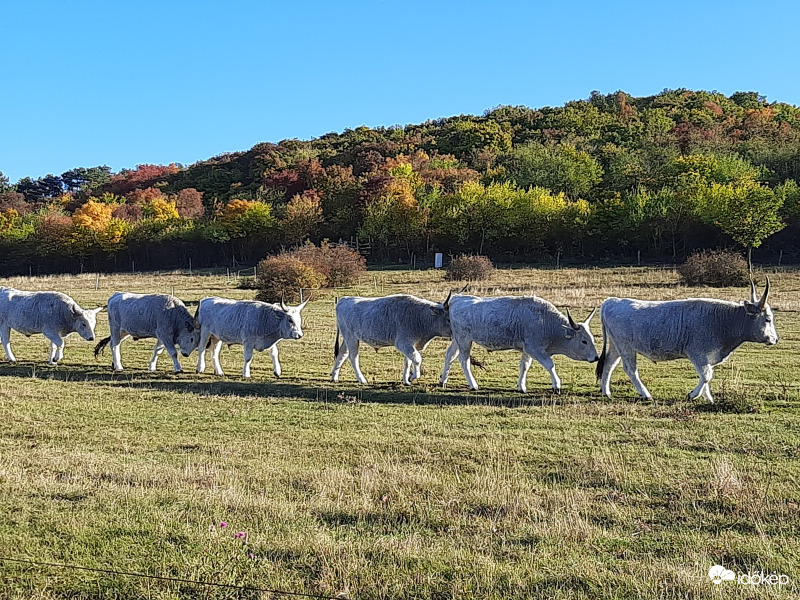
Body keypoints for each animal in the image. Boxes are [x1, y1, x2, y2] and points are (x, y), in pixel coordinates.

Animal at [438, 296, 600, 394]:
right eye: (584, 341)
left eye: (591, 338)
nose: (596, 357)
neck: (546, 321)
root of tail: (458, 298)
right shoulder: (535, 349)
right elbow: (550, 364)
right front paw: (557, 385)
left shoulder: (526, 349)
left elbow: (524, 366)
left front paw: (521, 386)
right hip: (464, 340)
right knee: (464, 361)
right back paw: (473, 384)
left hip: (457, 340)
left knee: (449, 355)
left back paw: (442, 380)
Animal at [596, 278, 780, 400]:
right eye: (768, 319)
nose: (776, 339)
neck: (722, 321)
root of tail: (612, 301)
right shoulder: (698, 354)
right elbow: (706, 375)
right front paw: (693, 395)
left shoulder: (707, 357)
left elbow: (705, 376)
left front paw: (708, 399)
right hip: (626, 347)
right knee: (630, 369)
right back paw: (645, 394)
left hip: (616, 346)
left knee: (609, 364)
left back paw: (606, 392)